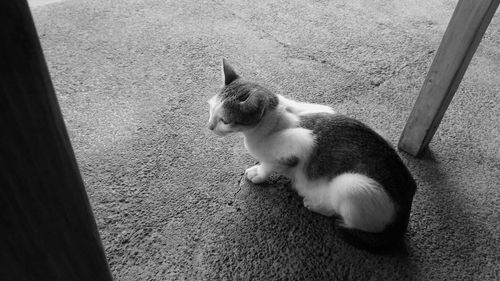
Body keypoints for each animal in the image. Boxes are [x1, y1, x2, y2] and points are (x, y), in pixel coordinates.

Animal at [207, 58, 418, 249]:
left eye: (225, 120)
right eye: (210, 109)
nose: (209, 127)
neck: (274, 120)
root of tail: (405, 210)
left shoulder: (300, 145)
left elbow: (270, 163)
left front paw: (258, 174)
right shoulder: (323, 109)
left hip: (352, 185)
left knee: (340, 214)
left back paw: (315, 204)